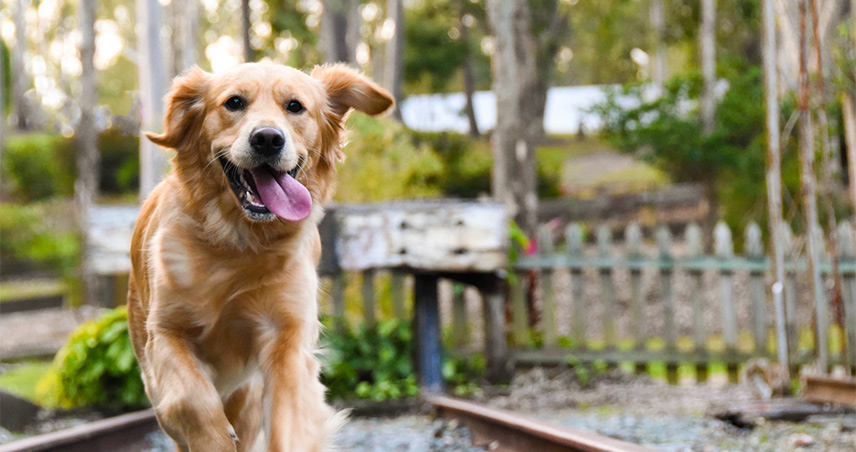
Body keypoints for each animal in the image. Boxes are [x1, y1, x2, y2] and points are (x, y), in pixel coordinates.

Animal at [125, 62, 392, 452]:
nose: (267, 138)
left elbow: (289, 421)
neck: (238, 243)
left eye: (295, 106)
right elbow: (191, 400)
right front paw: (215, 441)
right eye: (234, 102)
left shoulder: (287, 336)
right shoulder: (165, 333)